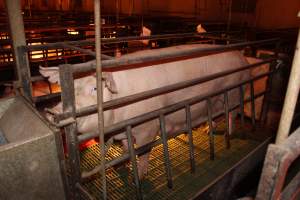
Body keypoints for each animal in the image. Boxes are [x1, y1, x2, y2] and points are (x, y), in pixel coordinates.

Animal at [39, 43, 251, 178]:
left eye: (95, 89)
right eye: (67, 90)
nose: (53, 112)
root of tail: (241, 57)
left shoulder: (148, 126)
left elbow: (142, 152)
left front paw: (140, 176)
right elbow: (127, 148)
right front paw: (124, 164)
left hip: (233, 90)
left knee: (232, 113)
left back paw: (228, 135)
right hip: (214, 99)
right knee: (215, 114)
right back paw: (208, 130)